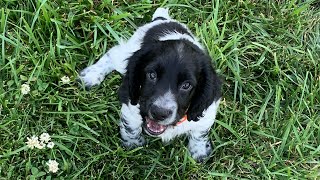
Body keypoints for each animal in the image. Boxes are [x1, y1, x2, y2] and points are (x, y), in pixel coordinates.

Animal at [79, 8, 221, 162]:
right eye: (152, 75)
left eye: (186, 85)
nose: (159, 113)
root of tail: (161, 19)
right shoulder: (131, 101)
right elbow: (131, 126)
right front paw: (133, 144)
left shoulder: (208, 111)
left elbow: (200, 132)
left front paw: (199, 152)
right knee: (113, 53)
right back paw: (91, 75)